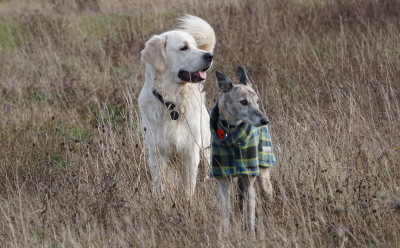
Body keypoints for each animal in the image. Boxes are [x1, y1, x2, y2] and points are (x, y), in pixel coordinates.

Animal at [140, 15, 217, 198]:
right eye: (183, 48)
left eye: (195, 47)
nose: (209, 56)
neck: (172, 103)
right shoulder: (157, 154)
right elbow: (162, 187)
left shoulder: (191, 153)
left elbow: (188, 189)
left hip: (205, 150)